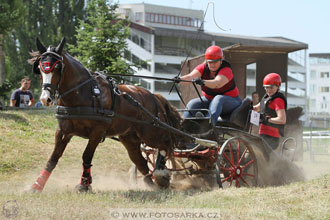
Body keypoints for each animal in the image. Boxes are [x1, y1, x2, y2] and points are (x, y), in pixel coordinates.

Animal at [28, 37, 182, 192]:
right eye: (40, 69)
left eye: (57, 68)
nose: (45, 99)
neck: (84, 92)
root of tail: (154, 96)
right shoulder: (63, 131)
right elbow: (53, 158)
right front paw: (37, 185)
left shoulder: (97, 132)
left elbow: (86, 156)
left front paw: (84, 184)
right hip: (129, 138)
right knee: (141, 162)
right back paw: (152, 183)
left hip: (150, 133)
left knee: (165, 143)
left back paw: (161, 173)